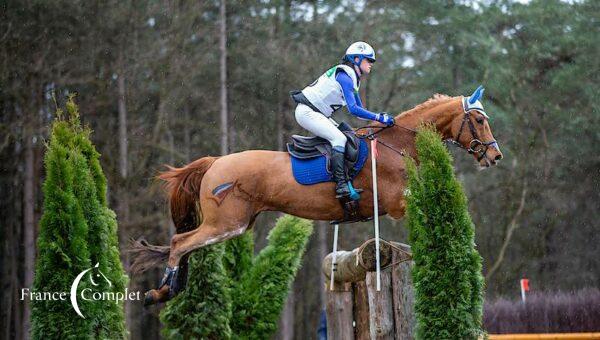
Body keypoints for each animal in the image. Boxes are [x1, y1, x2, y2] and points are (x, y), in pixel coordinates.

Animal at [135, 89, 502, 304]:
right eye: (479, 119)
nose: (495, 157)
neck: (395, 144)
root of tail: (214, 162)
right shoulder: (398, 202)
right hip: (227, 224)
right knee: (180, 242)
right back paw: (163, 291)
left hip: (233, 224)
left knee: (184, 243)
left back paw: (172, 288)